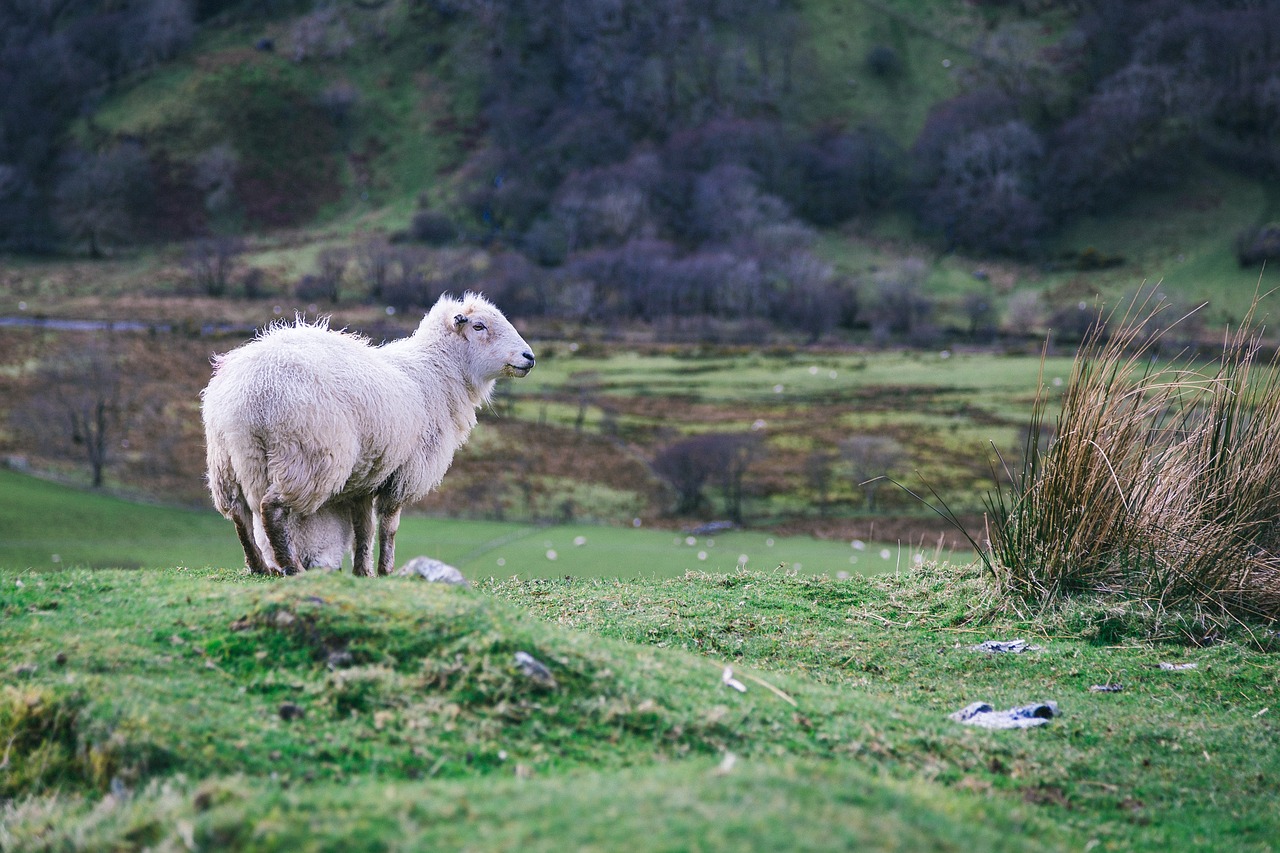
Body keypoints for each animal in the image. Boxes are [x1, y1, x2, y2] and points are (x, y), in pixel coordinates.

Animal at [202, 289, 532, 573]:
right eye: (479, 326)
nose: (529, 357)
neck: (436, 373)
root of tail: (250, 393)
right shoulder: (404, 472)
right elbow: (389, 527)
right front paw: (386, 570)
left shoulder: (366, 475)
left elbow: (364, 527)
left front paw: (363, 571)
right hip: (307, 456)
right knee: (272, 508)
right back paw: (290, 567)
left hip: (227, 460)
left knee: (239, 513)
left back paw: (259, 565)